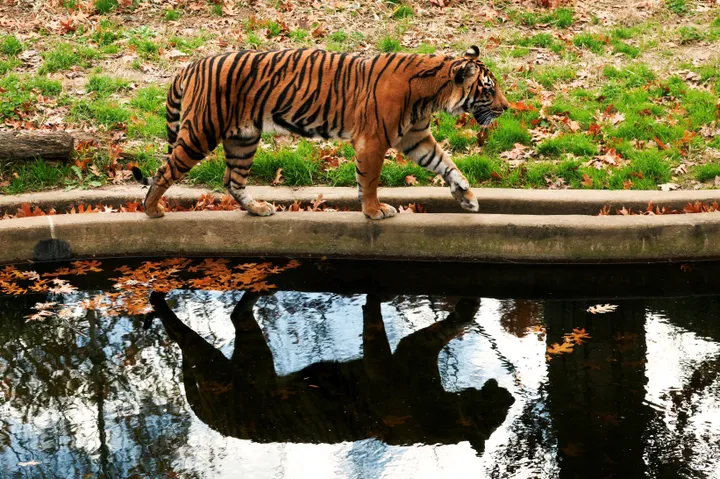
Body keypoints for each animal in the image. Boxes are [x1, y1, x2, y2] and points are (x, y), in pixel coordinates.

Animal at [131, 45, 510, 220]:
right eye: (489, 90)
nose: (507, 107)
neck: (432, 95)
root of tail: (190, 65)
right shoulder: (374, 140)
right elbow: (370, 180)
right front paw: (374, 211)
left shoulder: (414, 138)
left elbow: (447, 164)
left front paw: (467, 197)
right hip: (201, 132)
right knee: (164, 171)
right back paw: (152, 210)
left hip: (243, 138)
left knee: (232, 181)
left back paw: (258, 209)